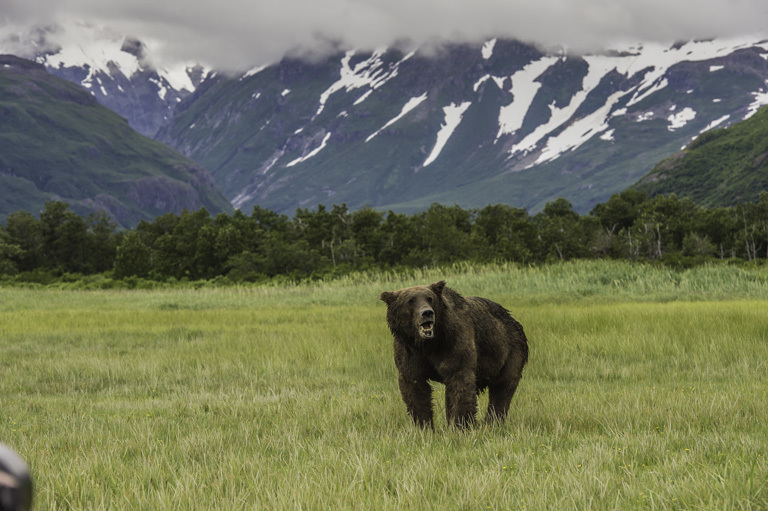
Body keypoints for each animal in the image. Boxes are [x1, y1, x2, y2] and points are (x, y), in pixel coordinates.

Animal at [380, 282, 528, 430]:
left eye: (430, 298)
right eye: (410, 301)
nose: (427, 313)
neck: (428, 344)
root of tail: (513, 320)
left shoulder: (453, 343)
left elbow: (460, 382)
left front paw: (459, 425)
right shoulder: (409, 352)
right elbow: (415, 387)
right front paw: (424, 426)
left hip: (510, 352)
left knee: (502, 388)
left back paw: (492, 422)